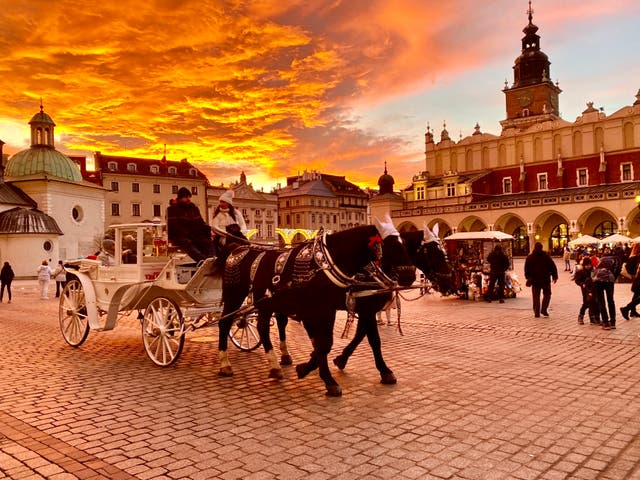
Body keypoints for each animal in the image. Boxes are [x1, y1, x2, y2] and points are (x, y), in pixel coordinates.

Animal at [216, 219, 416, 396]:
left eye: (405, 244)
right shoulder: (326, 309)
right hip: (236, 296)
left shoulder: (342, 308)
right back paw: (225, 364)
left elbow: (359, 339)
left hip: (267, 302)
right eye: (390, 244)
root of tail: (237, 249)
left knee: (264, 327)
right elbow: (327, 342)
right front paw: (327, 379)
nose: (410, 276)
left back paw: (276, 364)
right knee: (225, 323)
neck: (328, 262)